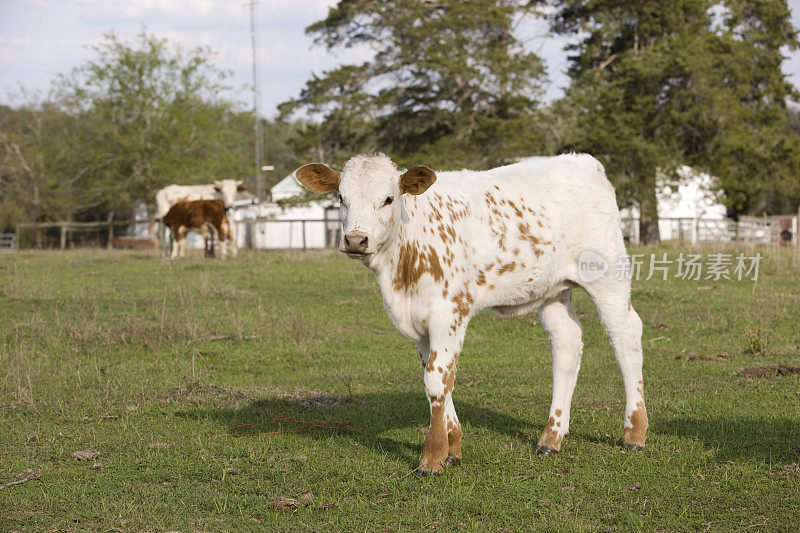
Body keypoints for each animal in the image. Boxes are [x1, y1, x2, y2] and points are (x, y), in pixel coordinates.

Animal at [296, 153, 648, 474]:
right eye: (341, 198)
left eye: (388, 199)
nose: (356, 239)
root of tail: (584, 161)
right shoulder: (422, 323)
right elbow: (439, 377)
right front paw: (452, 448)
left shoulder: (449, 312)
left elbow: (436, 381)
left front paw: (432, 458)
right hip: (553, 291)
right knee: (567, 345)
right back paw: (551, 437)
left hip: (608, 276)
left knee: (626, 339)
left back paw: (634, 434)